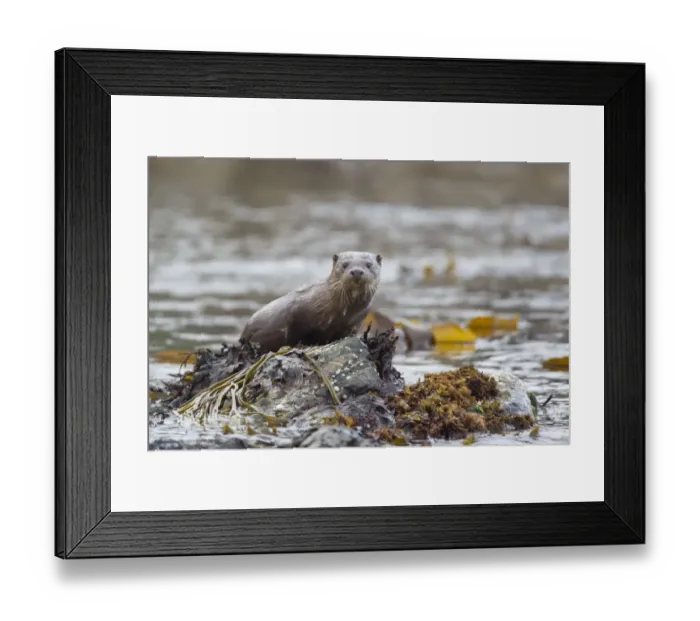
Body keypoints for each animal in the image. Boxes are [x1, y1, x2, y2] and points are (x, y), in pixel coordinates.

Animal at [239, 251, 382, 354]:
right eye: (344, 265)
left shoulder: (356, 321)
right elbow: (292, 333)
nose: (357, 271)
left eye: (369, 264)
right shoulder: (296, 312)